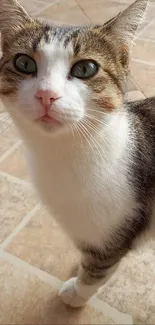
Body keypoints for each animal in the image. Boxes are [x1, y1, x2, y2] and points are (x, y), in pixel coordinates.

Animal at [0, 0, 153, 306]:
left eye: (86, 68)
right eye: (24, 63)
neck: (63, 155)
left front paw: (77, 293)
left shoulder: (114, 233)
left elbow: (98, 269)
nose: (46, 94)